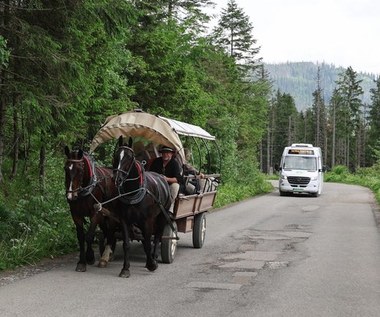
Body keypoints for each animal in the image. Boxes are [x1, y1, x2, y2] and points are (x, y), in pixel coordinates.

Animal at [112, 136, 171, 276]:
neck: (133, 192)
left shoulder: (146, 220)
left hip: (162, 215)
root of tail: (162, 177)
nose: (117, 179)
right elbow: (126, 244)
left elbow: (148, 243)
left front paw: (151, 264)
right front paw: (125, 268)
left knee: (158, 236)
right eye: (117, 155)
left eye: (129, 157)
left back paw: (154, 257)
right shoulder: (124, 220)